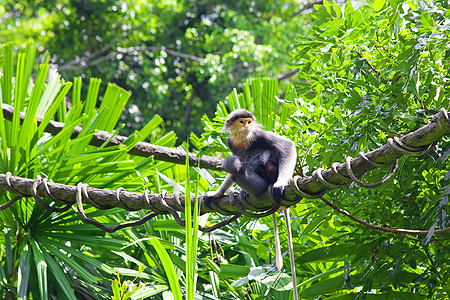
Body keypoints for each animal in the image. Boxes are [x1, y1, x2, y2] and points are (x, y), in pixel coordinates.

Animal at [207, 108, 298, 298]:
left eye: (249, 122)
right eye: (242, 122)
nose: (247, 126)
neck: (243, 139)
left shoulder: (259, 135)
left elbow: (287, 146)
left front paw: (280, 182)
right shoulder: (231, 142)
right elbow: (234, 164)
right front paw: (217, 193)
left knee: (260, 165)